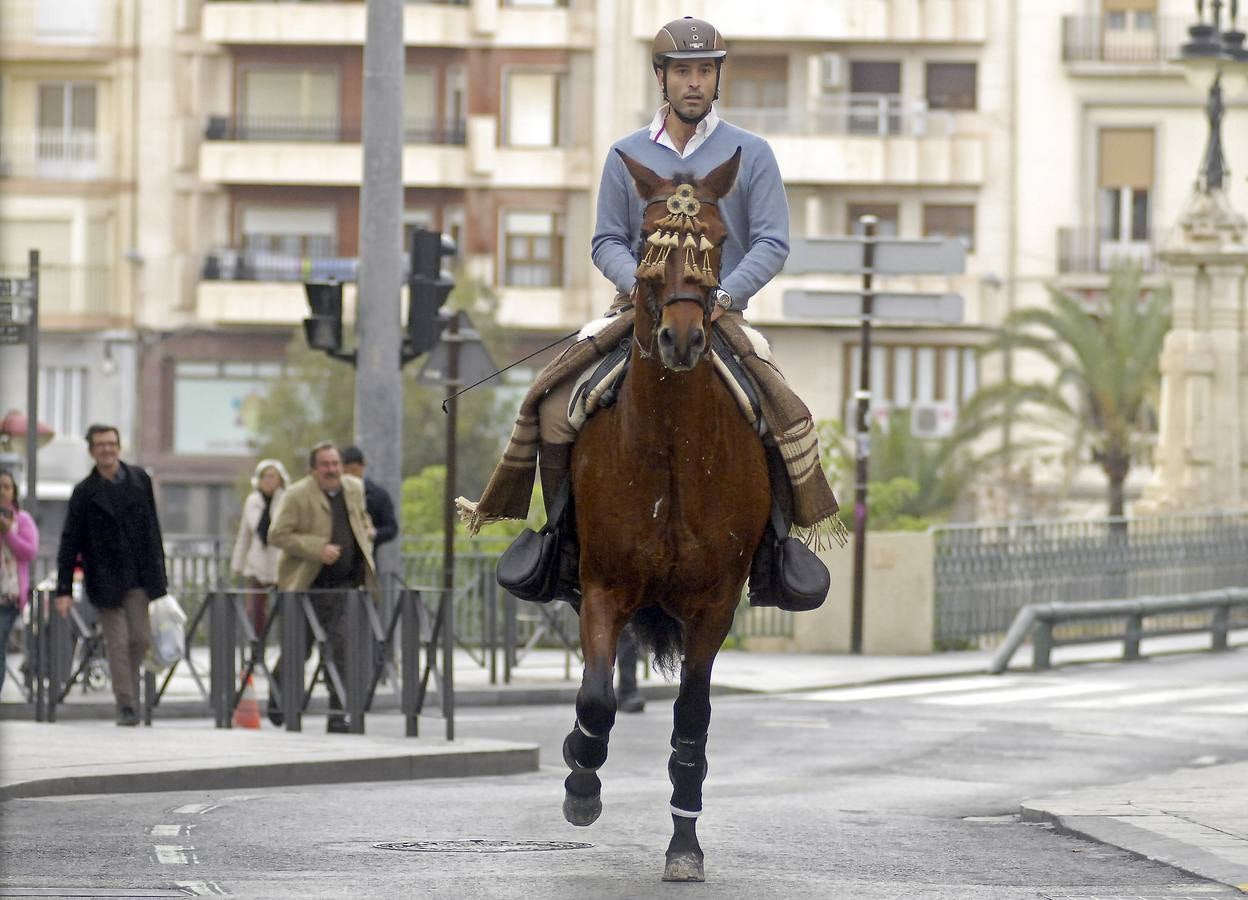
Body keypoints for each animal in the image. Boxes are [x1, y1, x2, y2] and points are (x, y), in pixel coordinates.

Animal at [559, 149, 768, 883]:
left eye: (718, 242)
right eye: (651, 242)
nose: (682, 337)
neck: (674, 446)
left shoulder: (715, 605)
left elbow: (692, 719)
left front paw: (685, 844)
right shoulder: (603, 586)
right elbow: (596, 696)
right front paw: (581, 779)